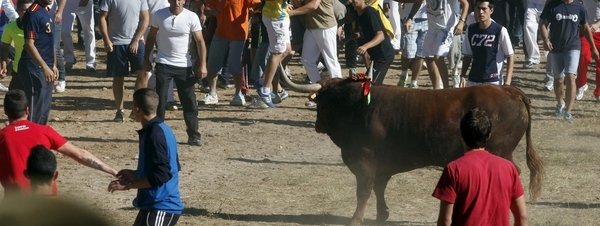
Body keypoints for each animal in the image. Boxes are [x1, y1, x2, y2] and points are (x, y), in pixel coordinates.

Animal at [314, 78, 544, 225]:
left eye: (320, 103)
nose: (317, 125)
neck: (356, 106)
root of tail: (509, 91)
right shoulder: (382, 164)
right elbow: (379, 187)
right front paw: (381, 215)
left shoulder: (364, 158)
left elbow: (363, 191)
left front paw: (356, 219)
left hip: (500, 152)